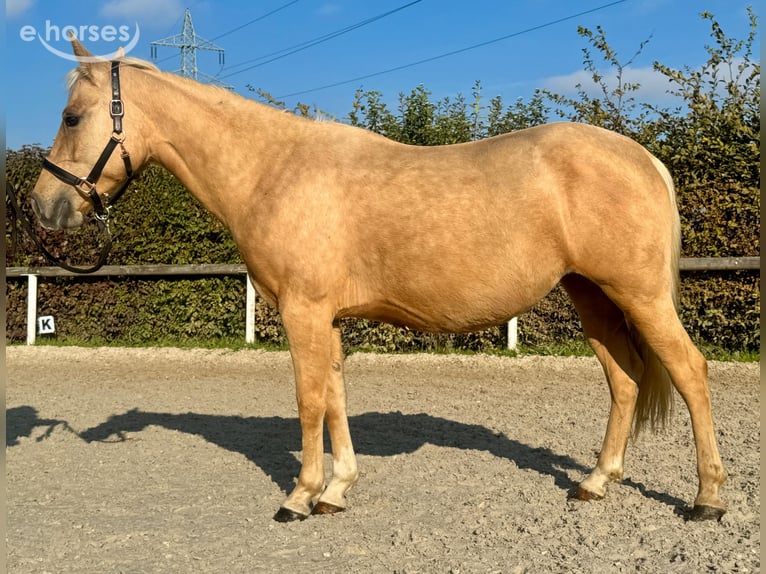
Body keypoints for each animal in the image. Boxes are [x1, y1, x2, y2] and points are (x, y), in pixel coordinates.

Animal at [29, 39, 727, 522]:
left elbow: (310, 400)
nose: (43, 207)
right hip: (595, 299)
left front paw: (299, 496)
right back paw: (595, 482)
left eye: (71, 116)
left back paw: (707, 499)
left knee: (691, 373)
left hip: (639, 296)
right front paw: (337, 490)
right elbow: (335, 396)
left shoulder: (303, 312)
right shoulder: (324, 317)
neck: (274, 169)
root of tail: (645, 157)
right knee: (626, 381)